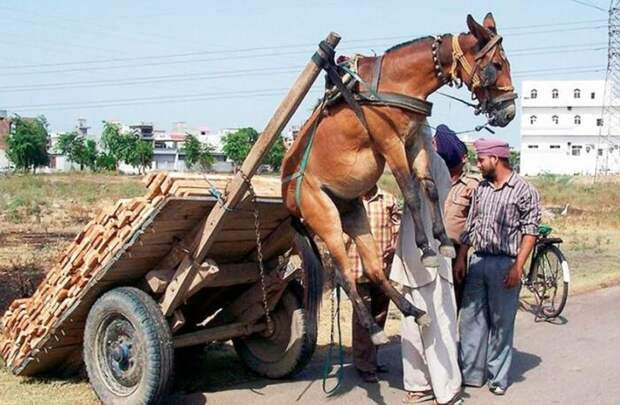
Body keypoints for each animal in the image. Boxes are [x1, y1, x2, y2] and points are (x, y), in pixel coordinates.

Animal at [284, 12, 516, 342]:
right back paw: (373, 328)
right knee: (343, 274)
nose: (508, 112)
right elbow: (410, 193)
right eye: (495, 65)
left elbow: (430, 188)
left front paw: (443, 240)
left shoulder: (414, 140)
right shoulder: (390, 143)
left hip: (352, 213)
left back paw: (414, 312)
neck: (397, 82)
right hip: (324, 218)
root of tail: (288, 199)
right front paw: (426, 248)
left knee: (373, 268)